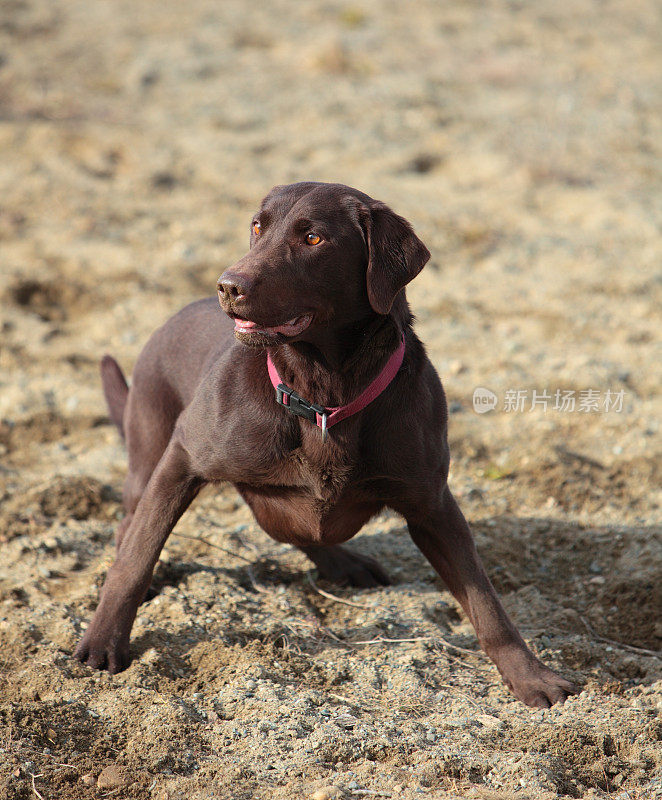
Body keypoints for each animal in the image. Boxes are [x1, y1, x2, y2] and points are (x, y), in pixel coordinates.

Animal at [75, 181, 580, 708]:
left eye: (314, 238)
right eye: (258, 226)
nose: (228, 286)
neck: (323, 395)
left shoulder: (433, 504)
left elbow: (486, 603)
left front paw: (532, 677)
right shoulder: (183, 460)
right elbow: (136, 560)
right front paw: (104, 641)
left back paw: (345, 562)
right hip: (149, 451)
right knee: (132, 525)